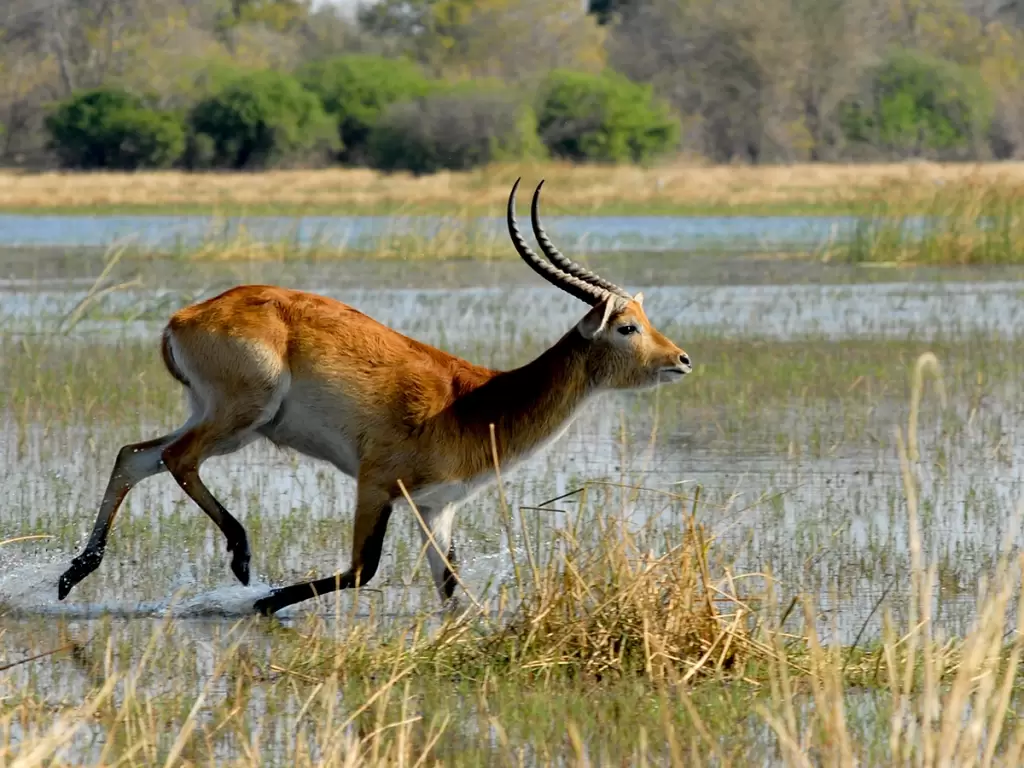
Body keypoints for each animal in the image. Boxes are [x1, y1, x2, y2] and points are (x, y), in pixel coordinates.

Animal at [57, 179, 692, 616]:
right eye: (627, 327)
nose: (682, 359)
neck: (477, 402)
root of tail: (183, 317)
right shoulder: (377, 483)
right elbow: (364, 569)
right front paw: (264, 601)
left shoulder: (437, 508)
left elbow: (451, 588)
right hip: (243, 417)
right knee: (174, 458)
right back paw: (240, 559)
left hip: (219, 417)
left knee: (135, 455)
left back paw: (73, 575)